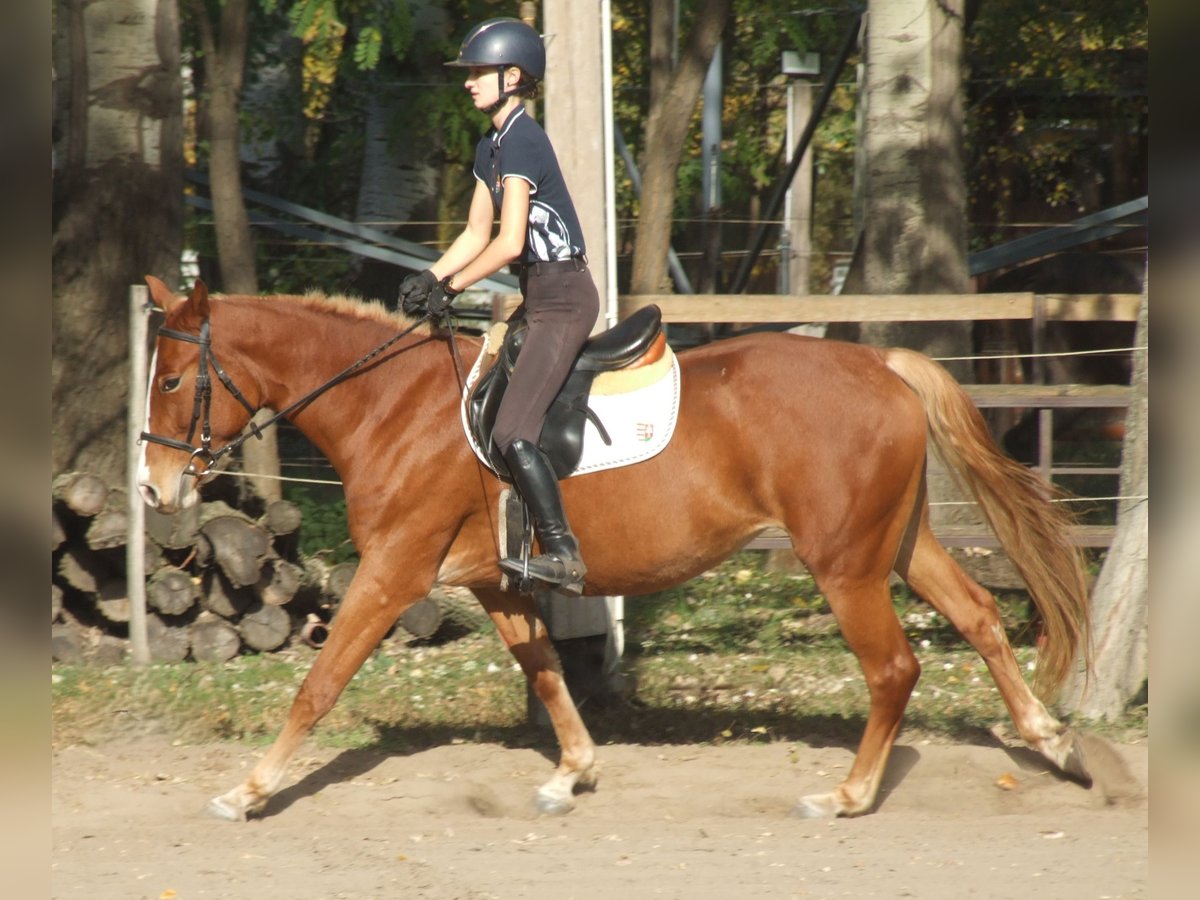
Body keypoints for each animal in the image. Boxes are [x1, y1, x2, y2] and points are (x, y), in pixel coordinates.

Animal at [136, 278, 1094, 820]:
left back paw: (851, 795)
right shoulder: (497, 583)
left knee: (894, 667)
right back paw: (1052, 743)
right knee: (978, 616)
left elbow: (318, 684)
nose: (153, 490)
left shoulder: (394, 573)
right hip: (895, 545)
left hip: (843, 563)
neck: (392, 406)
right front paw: (573, 774)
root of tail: (885, 365)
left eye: (175, 379)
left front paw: (249, 790)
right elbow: (547, 672)